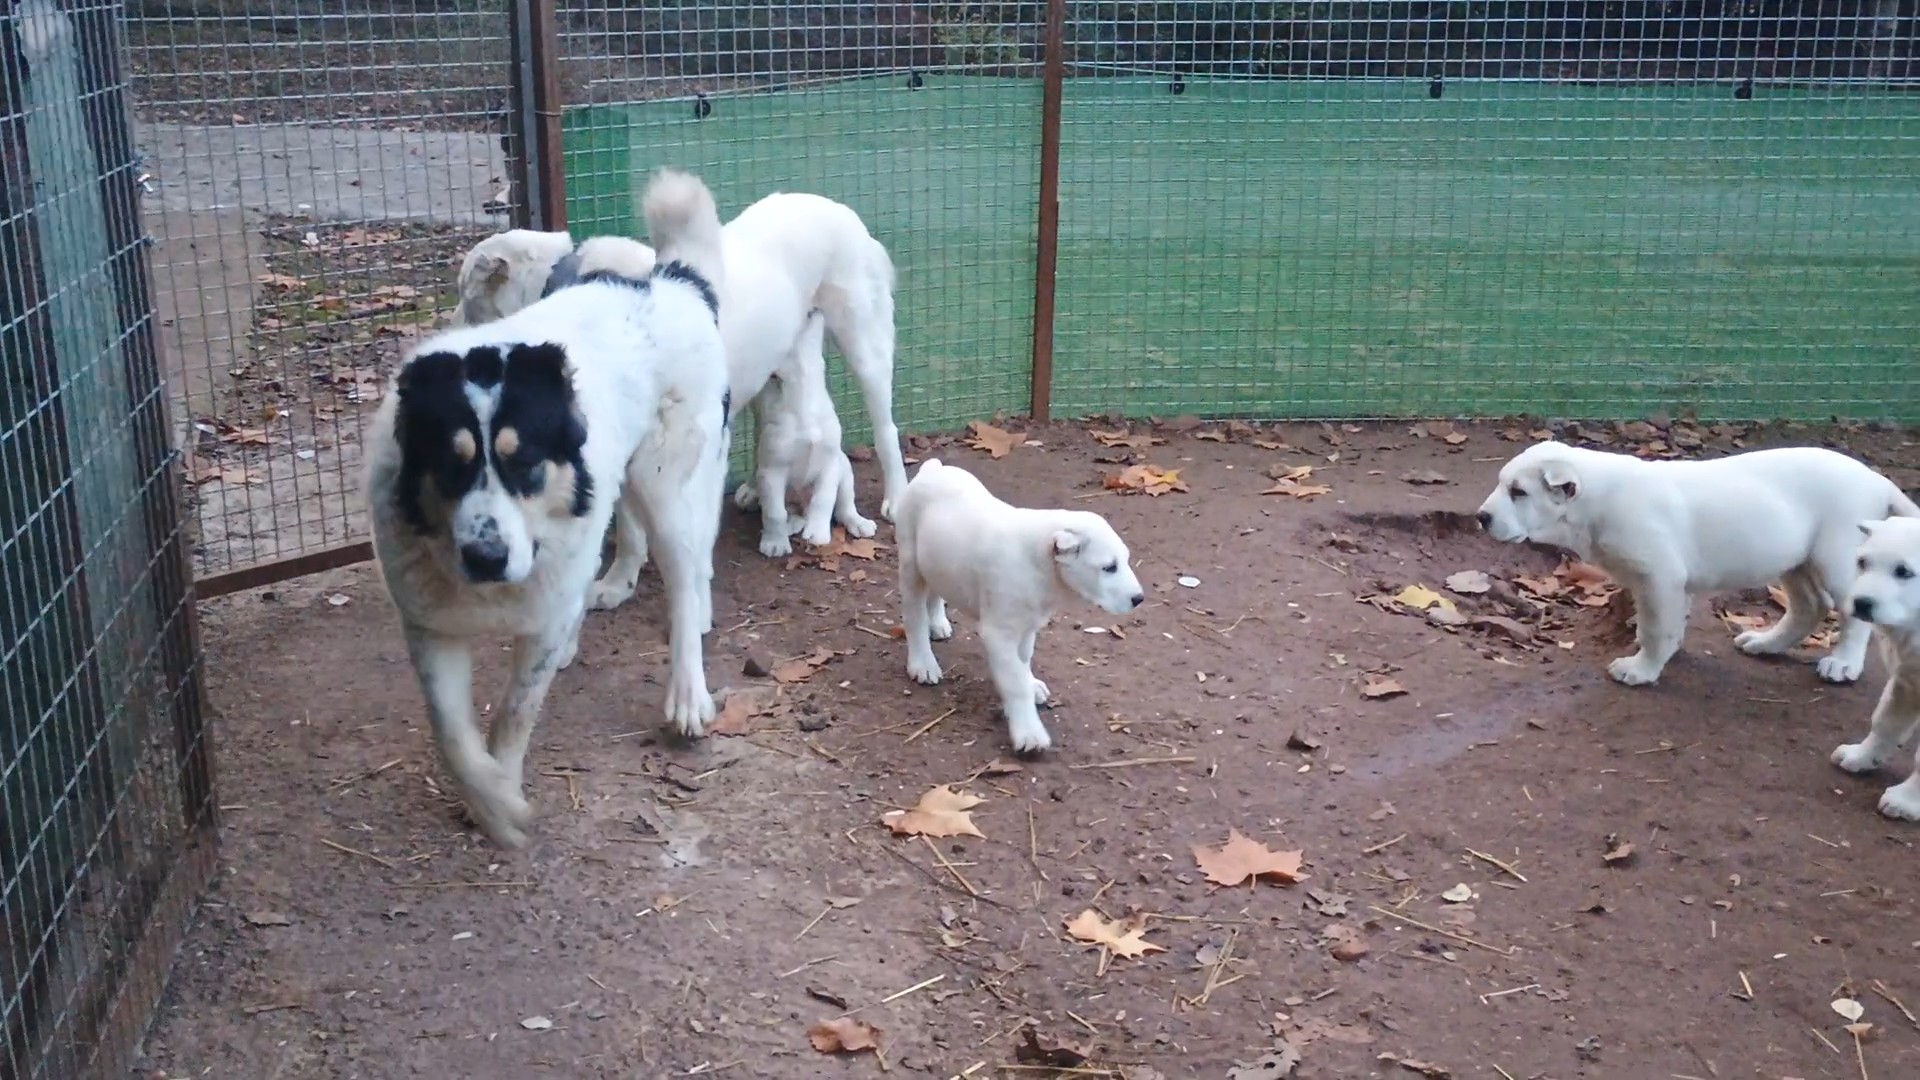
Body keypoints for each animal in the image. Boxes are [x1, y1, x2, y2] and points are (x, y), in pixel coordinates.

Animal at [366, 169, 731, 848]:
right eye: (451, 464)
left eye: (525, 461)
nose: (487, 556)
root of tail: (669, 282)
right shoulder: (429, 628)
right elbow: (452, 734)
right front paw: (487, 798)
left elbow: (513, 715)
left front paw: (504, 795)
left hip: (664, 485)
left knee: (684, 580)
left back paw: (686, 693)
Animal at [748, 310, 877, 556]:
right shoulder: (772, 473)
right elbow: (774, 512)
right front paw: (775, 543)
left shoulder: (830, 463)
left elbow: (824, 499)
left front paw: (818, 533)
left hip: (845, 466)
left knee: (845, 505)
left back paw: (859, 523)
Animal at [894, 459, 1145, 753]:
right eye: (1109, 567)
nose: (1139, 598)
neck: (1036, 561)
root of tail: (933, 468)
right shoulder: (998, 634)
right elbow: (1014, 681)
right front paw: (1029, 732)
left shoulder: (1027, 627)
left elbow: (1023, 662)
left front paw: (1031, 684)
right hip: (910, 563)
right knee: (914, 617)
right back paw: (923, 662)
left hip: (936, 563)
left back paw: (938, 624)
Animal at [1476, 440, 1919, 687]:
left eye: (1519, 492)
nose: (1481, 517)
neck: (1596, 501)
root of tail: (1877, 479)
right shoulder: (1669, 584)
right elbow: (1670, 626)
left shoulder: (1659, 578)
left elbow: (1655, 628)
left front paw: (1641, 670)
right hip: (1795, 561)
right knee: (1809, 607)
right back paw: (1765, 644)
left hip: (1837, 558)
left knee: (1852, 615)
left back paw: (1843, 665)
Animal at [1831, 517, 1920, 820]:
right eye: (1862, 563)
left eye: (1903, 572)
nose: (1861, 603)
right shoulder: (1906, 684)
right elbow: (1885, 723)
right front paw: (1862, 757)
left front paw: (1907, 801)